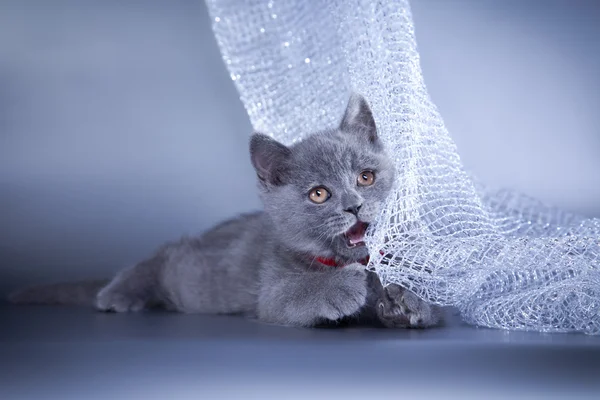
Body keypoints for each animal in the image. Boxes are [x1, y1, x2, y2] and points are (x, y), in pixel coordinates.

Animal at [9, 94, 440, 328]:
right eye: (319, 194)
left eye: (366, 177)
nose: (354, 205)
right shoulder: (271, 291)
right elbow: (294, 295)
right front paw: (343, 286)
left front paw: (408, 300)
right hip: (187, 272)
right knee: (163, 257)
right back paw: (119, 293)